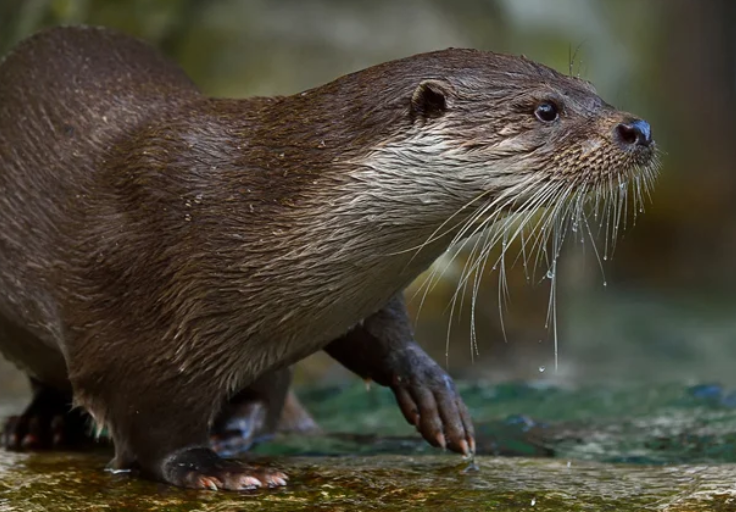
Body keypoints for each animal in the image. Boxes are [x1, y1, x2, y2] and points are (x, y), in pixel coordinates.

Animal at [0, 26, 656, 490]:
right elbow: (150, 423)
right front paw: (211, 467)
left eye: (593, 91)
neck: (239, 204)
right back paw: (38, 425)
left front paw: (433, 390)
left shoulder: (349, 294)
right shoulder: (135, 315)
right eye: (546, 109)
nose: (639, 128)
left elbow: (379, 333)